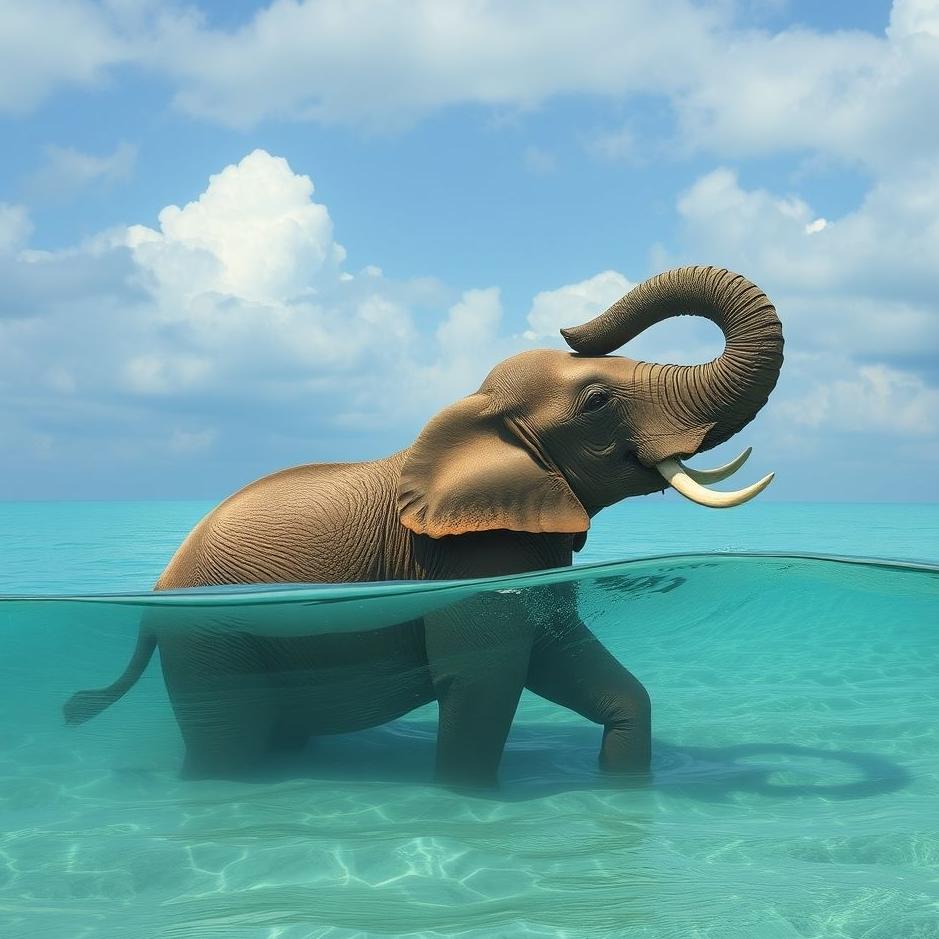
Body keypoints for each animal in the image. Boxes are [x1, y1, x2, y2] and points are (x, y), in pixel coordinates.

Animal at [64, 265, 784, 788]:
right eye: (597, 400)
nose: (573, 326)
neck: (475, 410)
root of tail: (156, 598)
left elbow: (577, 666)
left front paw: (623, 786)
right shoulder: (469, 567)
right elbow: (484, 685)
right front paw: (465, 798)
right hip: (209, 643)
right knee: (227, 745)